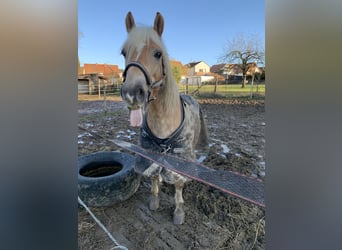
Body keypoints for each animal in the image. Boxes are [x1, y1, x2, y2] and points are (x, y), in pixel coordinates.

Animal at [119, 11, 208, 225]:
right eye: (124, 53)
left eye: (158, 53)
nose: (131, 93)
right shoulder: (149, 151)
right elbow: (152, 177)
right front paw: (154, 201)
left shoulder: (180, 156)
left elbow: (178, 185)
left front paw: (178, 212)